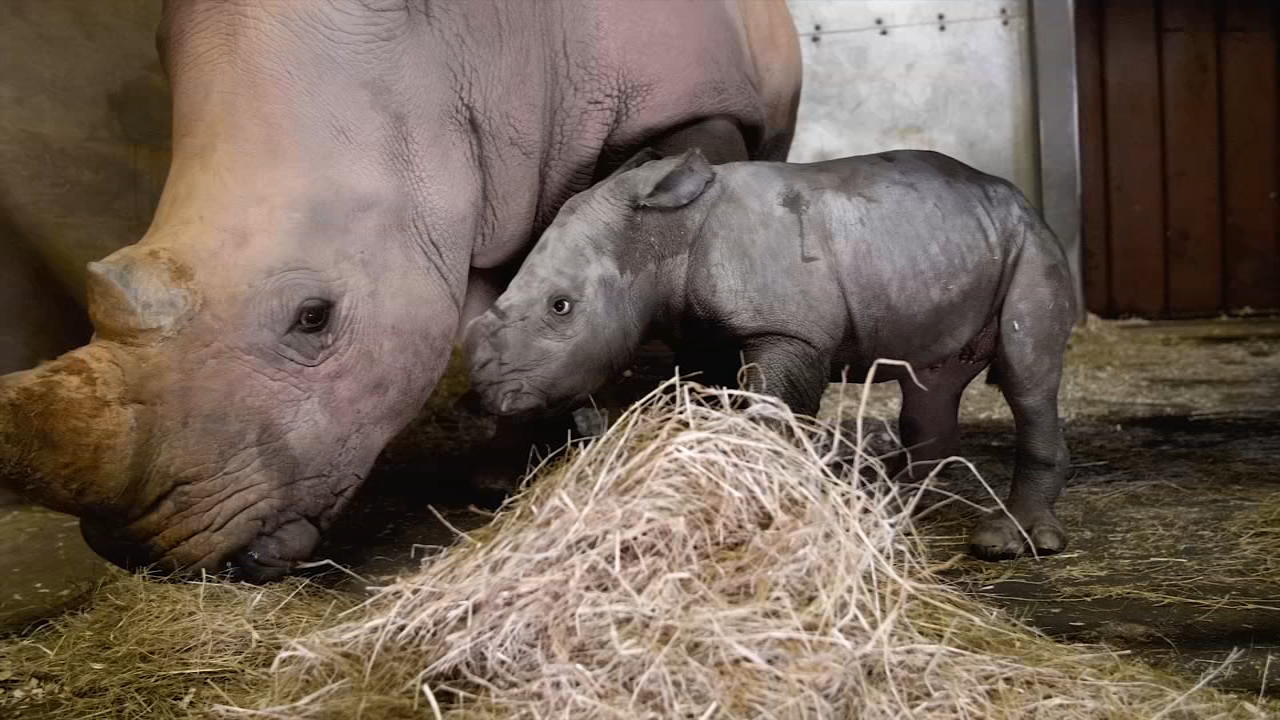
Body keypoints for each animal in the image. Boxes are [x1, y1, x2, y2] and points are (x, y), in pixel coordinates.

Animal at [0, 1, 802, 580]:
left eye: (313, 317)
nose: (137, 549)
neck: (461, 49)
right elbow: (491, 313)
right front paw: (505, 473)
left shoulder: (688, 101)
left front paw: (702, 410)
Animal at [463, 149, 1078, 560]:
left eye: (561, 306)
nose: (490, 395)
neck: (662, 233)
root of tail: (1017, 196)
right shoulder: (703, 333)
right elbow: (712, 403)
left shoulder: (788, 330)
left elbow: (771, 410)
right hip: (949, 244)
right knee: (930, 383)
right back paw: (897, 506)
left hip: (1031, 244)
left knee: (1026, 380)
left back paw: (1010, 542)